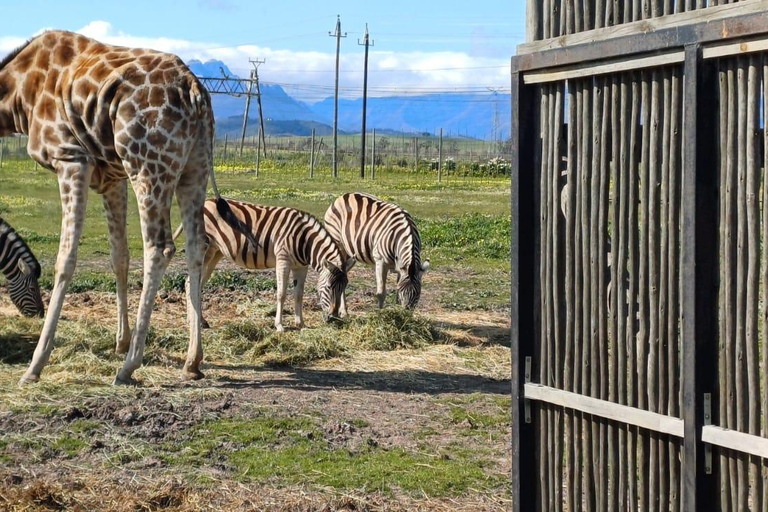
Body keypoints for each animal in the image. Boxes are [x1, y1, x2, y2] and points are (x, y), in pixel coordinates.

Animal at [0, 30, 258, 386]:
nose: (34, 312)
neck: (18, 95)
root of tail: (196, 91)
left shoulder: (71, 158)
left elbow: (66, 259)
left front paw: (35, 366)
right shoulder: (111, 178)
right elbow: (118, 256)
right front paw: (119, 341)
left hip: (147, 166)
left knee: (160, 247)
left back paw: (128, 367)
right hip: (194, 168)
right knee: (194, 247)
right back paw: (191, 361)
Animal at [174, 196, 348, 332]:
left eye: (343, 288)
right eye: (328, 287)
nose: (334, 318)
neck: (305, 241)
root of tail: (205, 203)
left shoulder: (301, 266)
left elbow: (299, 294)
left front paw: (301, 324)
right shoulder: (283, 260)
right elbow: (281, 294)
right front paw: (279, 326)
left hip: (216, 253)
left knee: (197, 284)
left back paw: (201, 321)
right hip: (206, 250)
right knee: (189, 282)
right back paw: (192, 321)